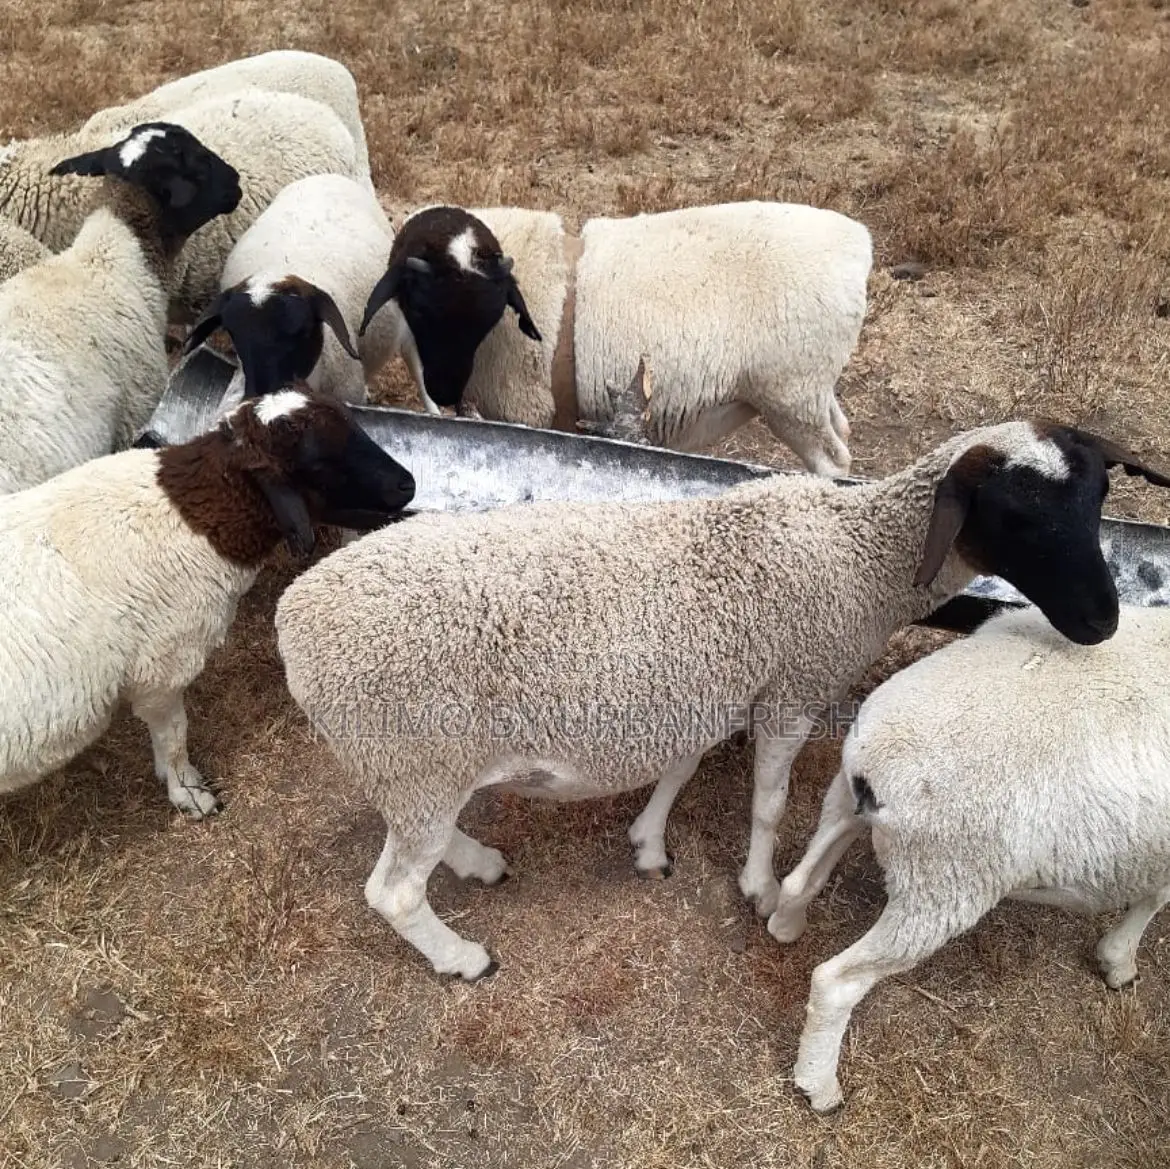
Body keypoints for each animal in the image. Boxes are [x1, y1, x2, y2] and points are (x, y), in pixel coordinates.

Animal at [0, 389, 415, 819]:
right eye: (318, 463)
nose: (408, 485)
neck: (193, 518)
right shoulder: (161, 667)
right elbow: (173, 736)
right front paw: (188, 792)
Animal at [272, 419, 1170, 981]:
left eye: (1097, 502)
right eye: (1016, 514)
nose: (1102, 622)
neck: (859, 554)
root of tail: (293, 618)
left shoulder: (722, 677)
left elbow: (685, 762)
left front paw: (649, 841)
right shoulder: (795, 685)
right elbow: (768, 802)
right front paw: (760, 887)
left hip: (409, 764)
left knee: (419, 838)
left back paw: (478, 862)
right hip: (414, 752)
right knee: (393, 890)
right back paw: (460, 957)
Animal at [774, 603, 1170, 1114]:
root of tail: (874, 766)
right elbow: (1156, 897)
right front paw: (1119, 960)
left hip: (846, 803)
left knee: (798, 882)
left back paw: (785, 926)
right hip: (945, 880)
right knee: (836, 981)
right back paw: (819, 1086)